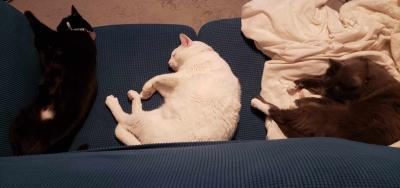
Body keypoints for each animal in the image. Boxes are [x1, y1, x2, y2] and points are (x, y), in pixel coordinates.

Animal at [8, 6, 97, 156]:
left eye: (61, 21)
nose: (57, 26)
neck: (79, 31)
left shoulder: (54, 39)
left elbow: (42, 29)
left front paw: (28, 13)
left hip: (18, 121)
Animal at [104, 33, 241, 145]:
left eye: (173, 54)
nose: (168, 62)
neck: (202, 53)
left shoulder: (181, 76)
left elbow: (157, 77)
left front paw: (146, 88)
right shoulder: (171, 89)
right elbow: (159, 84)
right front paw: (148, 92)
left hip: (144, 119)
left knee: (123, 120)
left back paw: (116, 99)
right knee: (125, 122)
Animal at [252, 58, 400, 146]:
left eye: (337, 90)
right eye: (329, 82)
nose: (327, 92)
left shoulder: (340, 102)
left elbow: (319, 98)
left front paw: (297, 100)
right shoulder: (323, 82)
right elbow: (312, 78)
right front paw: (293, 85)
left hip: (323, 114)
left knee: (279, 113)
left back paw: (258, 101)